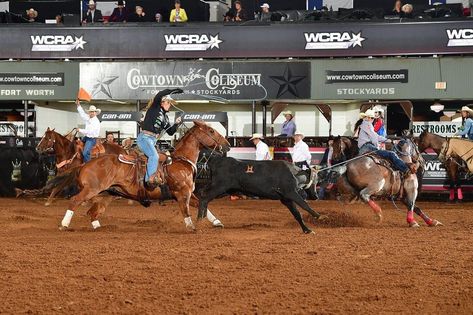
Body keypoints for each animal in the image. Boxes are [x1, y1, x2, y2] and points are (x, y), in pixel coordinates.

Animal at [53, 121, 230, 232]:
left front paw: (217, 222)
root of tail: (85, 164)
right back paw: (64, 224)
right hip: (92, 189)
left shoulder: (188, 194)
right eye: (211, 131)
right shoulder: (182, 193)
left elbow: (201, 204)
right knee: (75, 201)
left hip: (107, 195)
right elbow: (186, 211)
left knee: (92, 212)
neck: (181, 161)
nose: (227, 145)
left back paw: (98, 227)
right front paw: (191, 226)